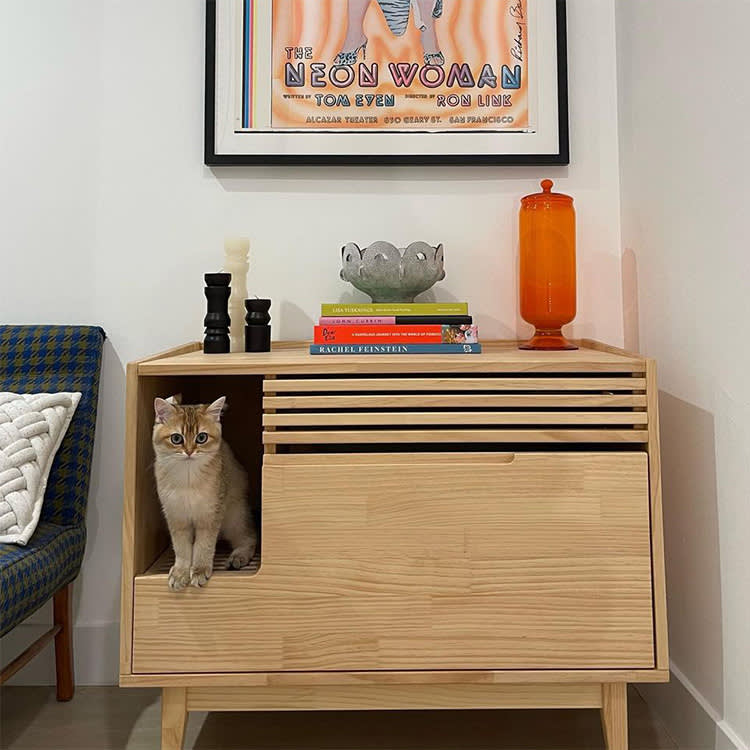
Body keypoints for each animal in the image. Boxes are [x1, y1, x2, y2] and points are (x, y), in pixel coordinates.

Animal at [153, 396, 258, 592]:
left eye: (201, 437)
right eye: (176, 438)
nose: (189, 451)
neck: (188, 478)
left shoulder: (210, 515)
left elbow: (204, 546)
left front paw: (200, 570)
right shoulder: (176, 516)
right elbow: (182, 547)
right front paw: (180, 573)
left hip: (235, 517)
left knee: (249, 537)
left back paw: (238, 557)